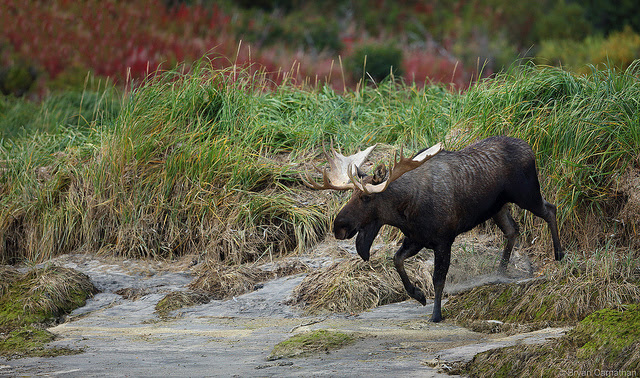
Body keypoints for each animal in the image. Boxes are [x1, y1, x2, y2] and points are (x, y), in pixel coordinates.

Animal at [302, 136, 564, 322]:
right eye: (351, 195)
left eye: (366, 198)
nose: (339, 227)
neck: (406, 210)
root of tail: (530, 148)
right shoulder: (416, 239)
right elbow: (397, 260)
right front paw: (418, 295)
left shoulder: (443, 239)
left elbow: (439, 278)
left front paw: (436, 314)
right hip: (498, 208)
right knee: (512, 230)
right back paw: (500, 272)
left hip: (527, 193)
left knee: (551, 209)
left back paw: (559, 254)